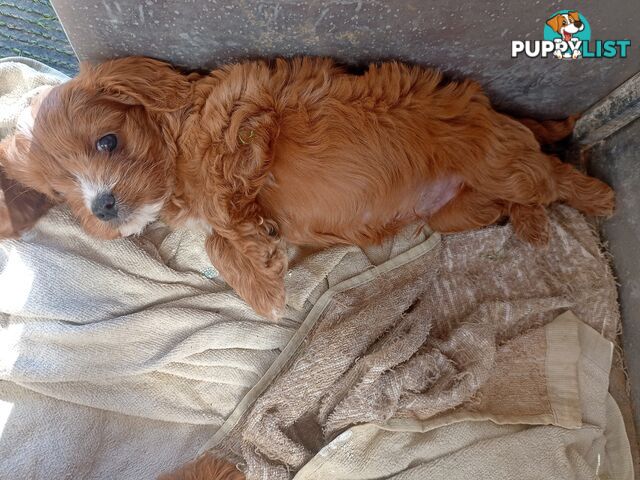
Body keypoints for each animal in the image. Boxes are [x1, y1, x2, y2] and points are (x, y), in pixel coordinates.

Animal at [0, 57, 616, 318]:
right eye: (60, 192)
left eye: (108, 141)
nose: (102, 207)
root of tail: (497, 112)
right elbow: (222, 232)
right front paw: (258, 260)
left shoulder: (249, 107)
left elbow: (223, 211)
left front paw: (258, 274)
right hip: (455, 211)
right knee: (523, 196)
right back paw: (530, 222)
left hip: (495, 159)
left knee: (550, 175)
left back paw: (599, 197)